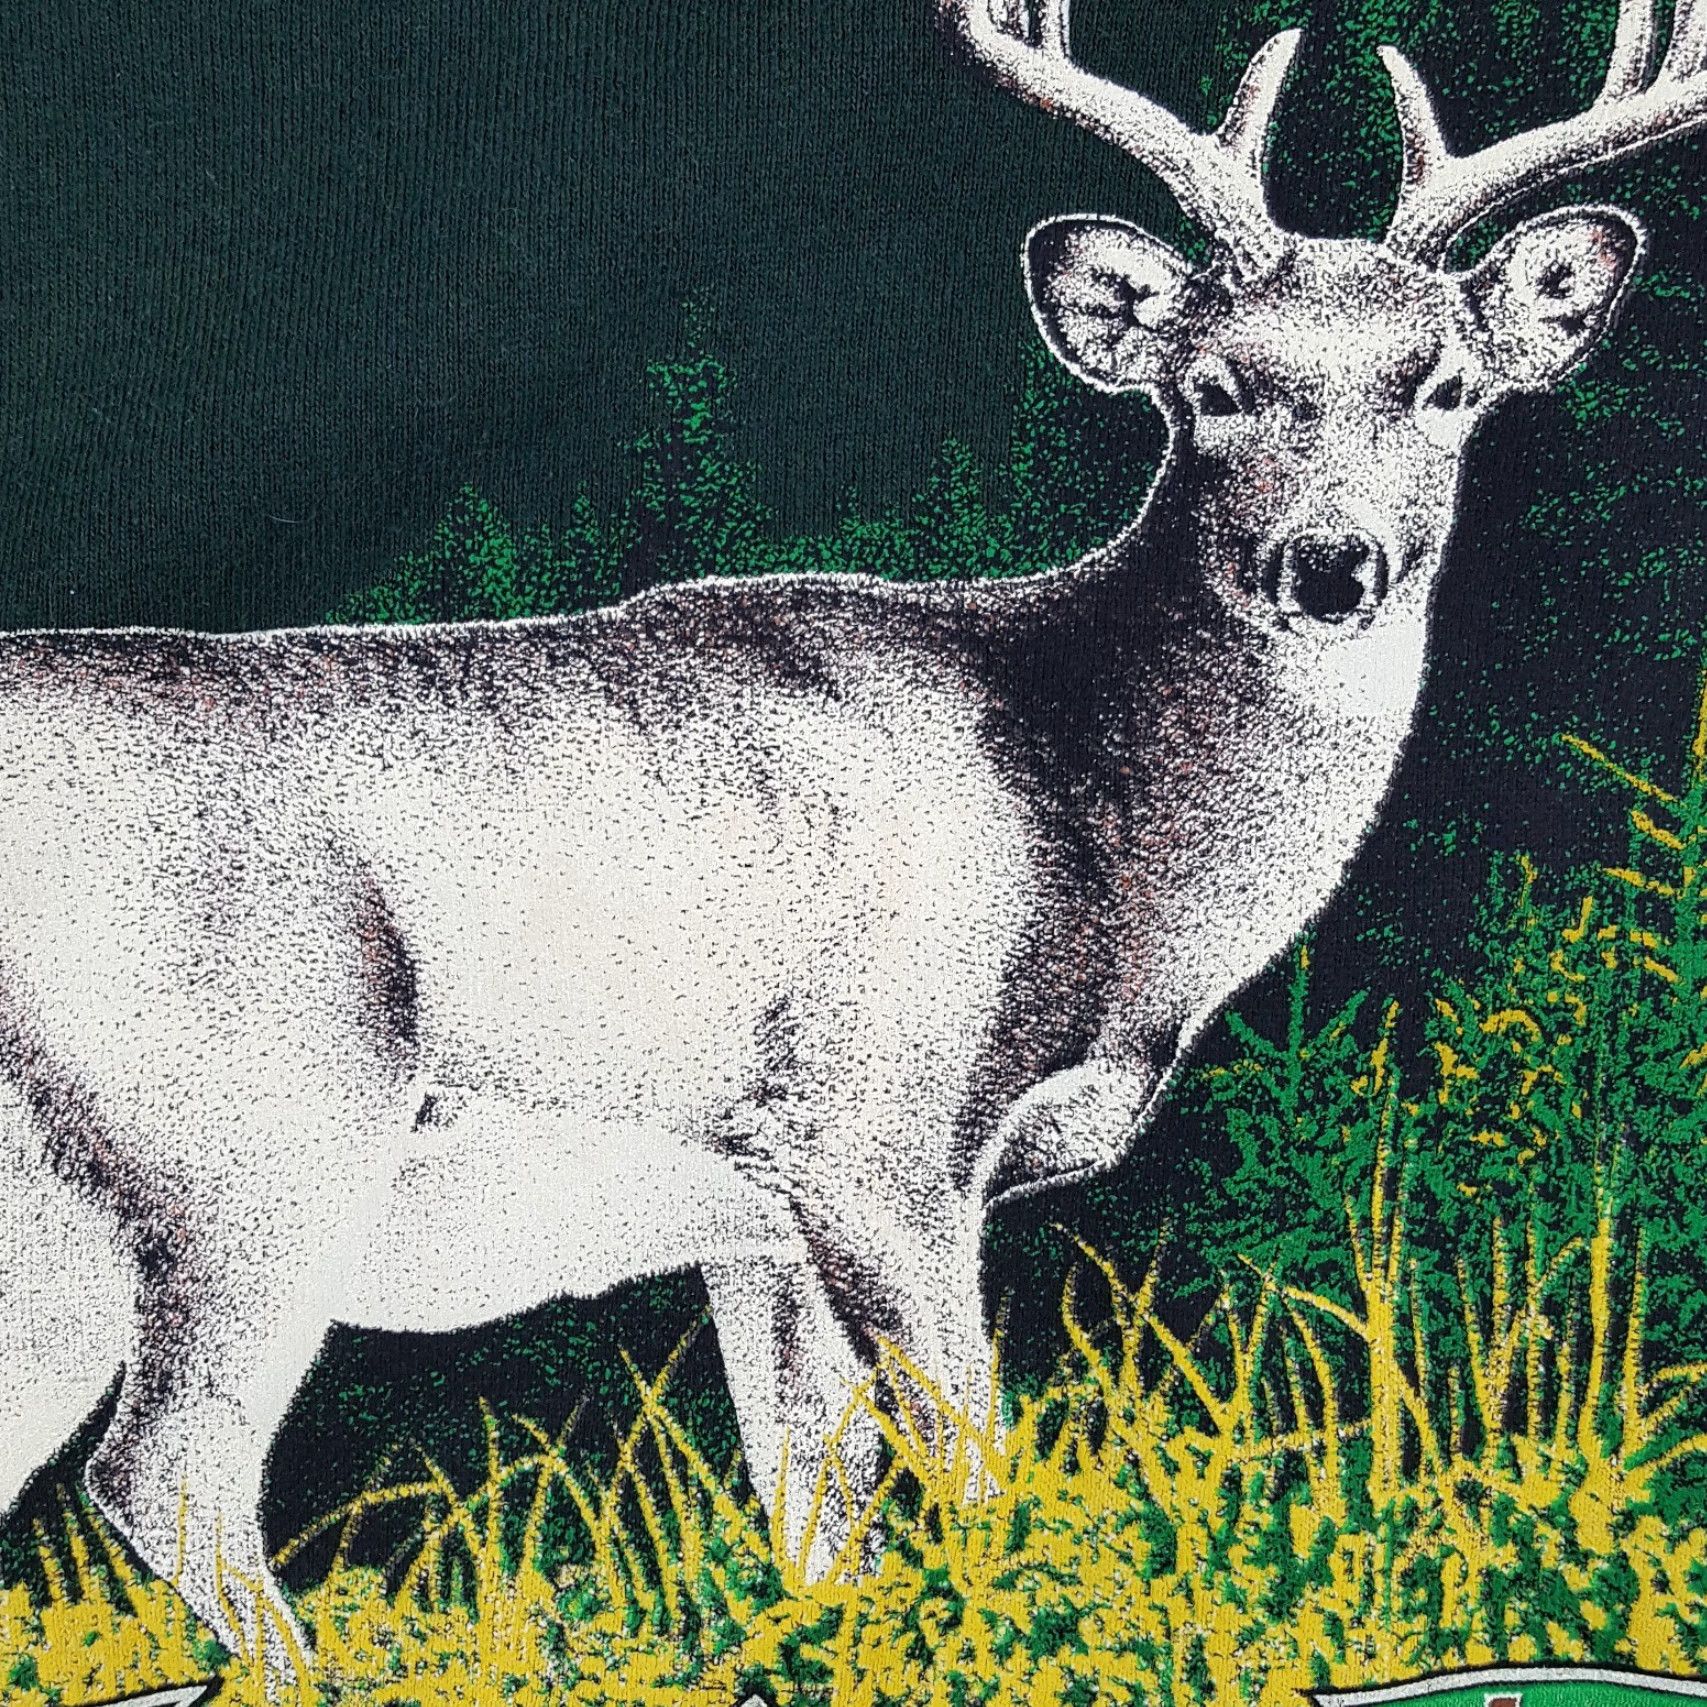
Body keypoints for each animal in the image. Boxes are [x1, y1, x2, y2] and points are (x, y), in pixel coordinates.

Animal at [1, 0, 1703, 1680]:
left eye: (1444, 384)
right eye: (1213, 384)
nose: (1328, 562)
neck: (1087, 820)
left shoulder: (755, 1214)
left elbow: (818, 1517)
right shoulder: (873, 1125)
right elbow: (969, 1465)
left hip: (71, 1230)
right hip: (255, 1135)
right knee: (167, 1466)